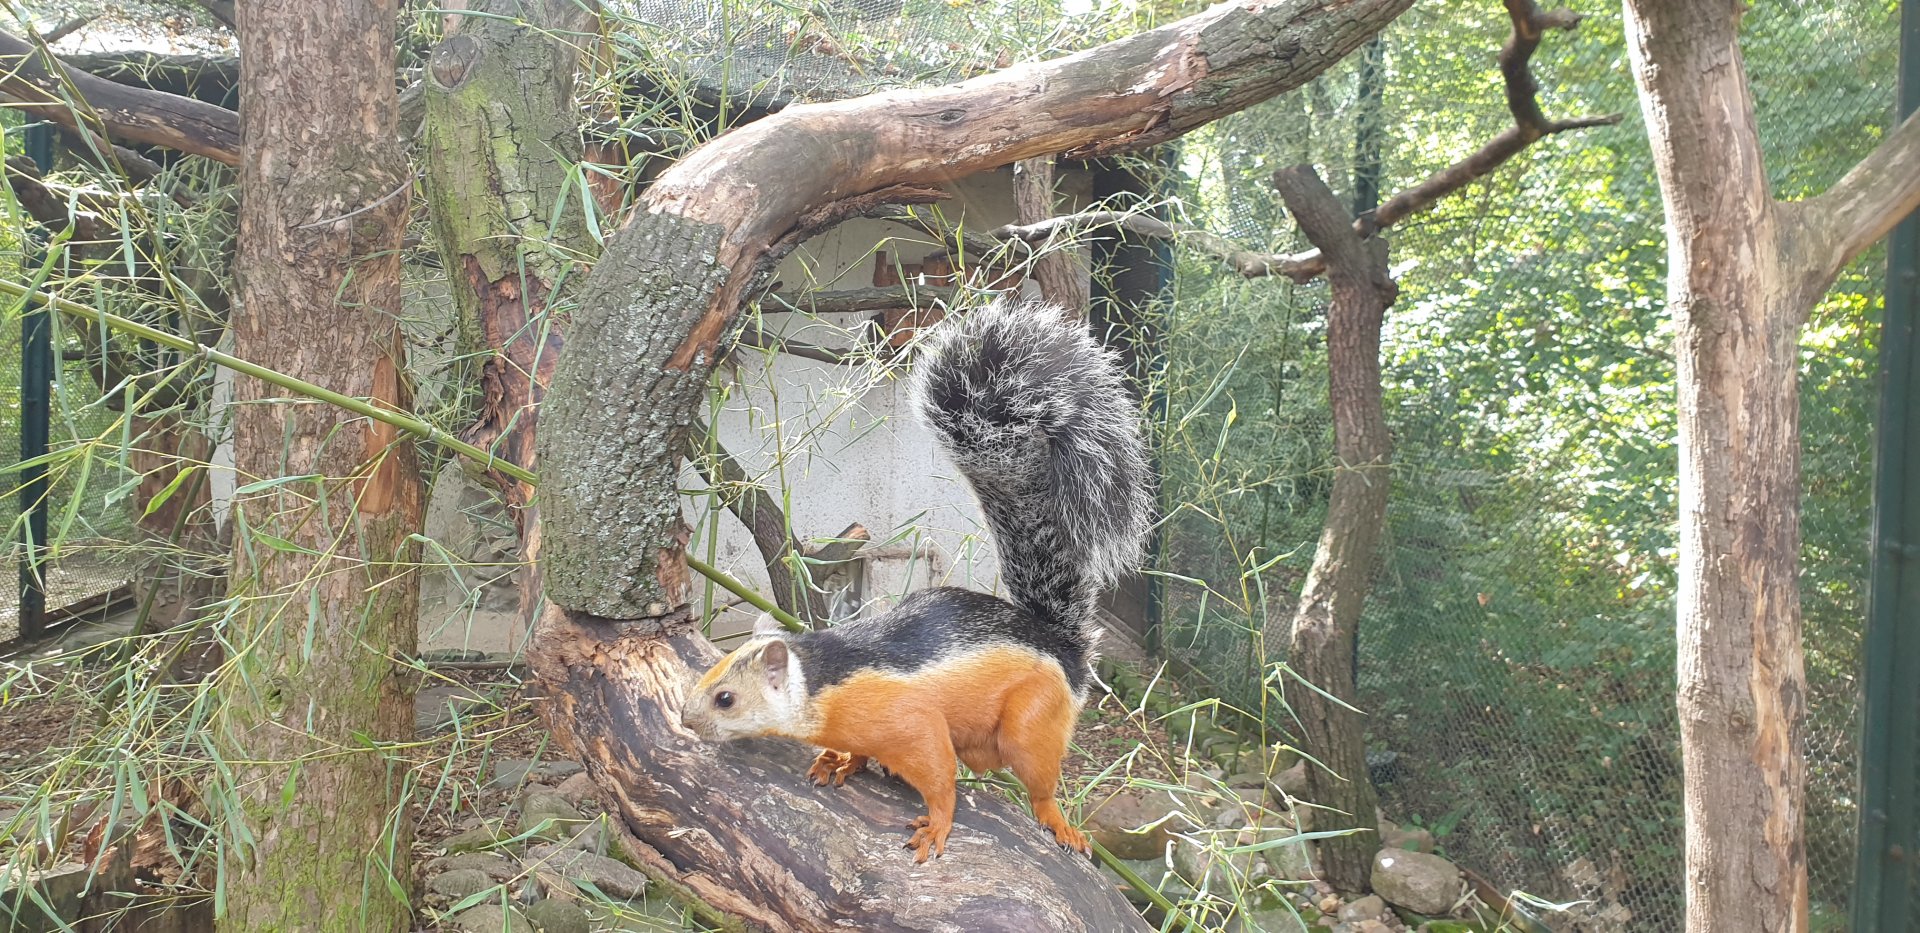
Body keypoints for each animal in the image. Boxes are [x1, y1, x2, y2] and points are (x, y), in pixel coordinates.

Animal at [679, 298, 1153, 862]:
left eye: (726, 698)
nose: (686, 721)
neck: (825, 679)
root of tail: (1065, 646)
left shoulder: (914, 725)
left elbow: (940, 779)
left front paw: (936, 827)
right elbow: (860, 752)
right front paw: (838, 760)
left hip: (1032, 723)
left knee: (1038, 784)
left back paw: (1058, 822)